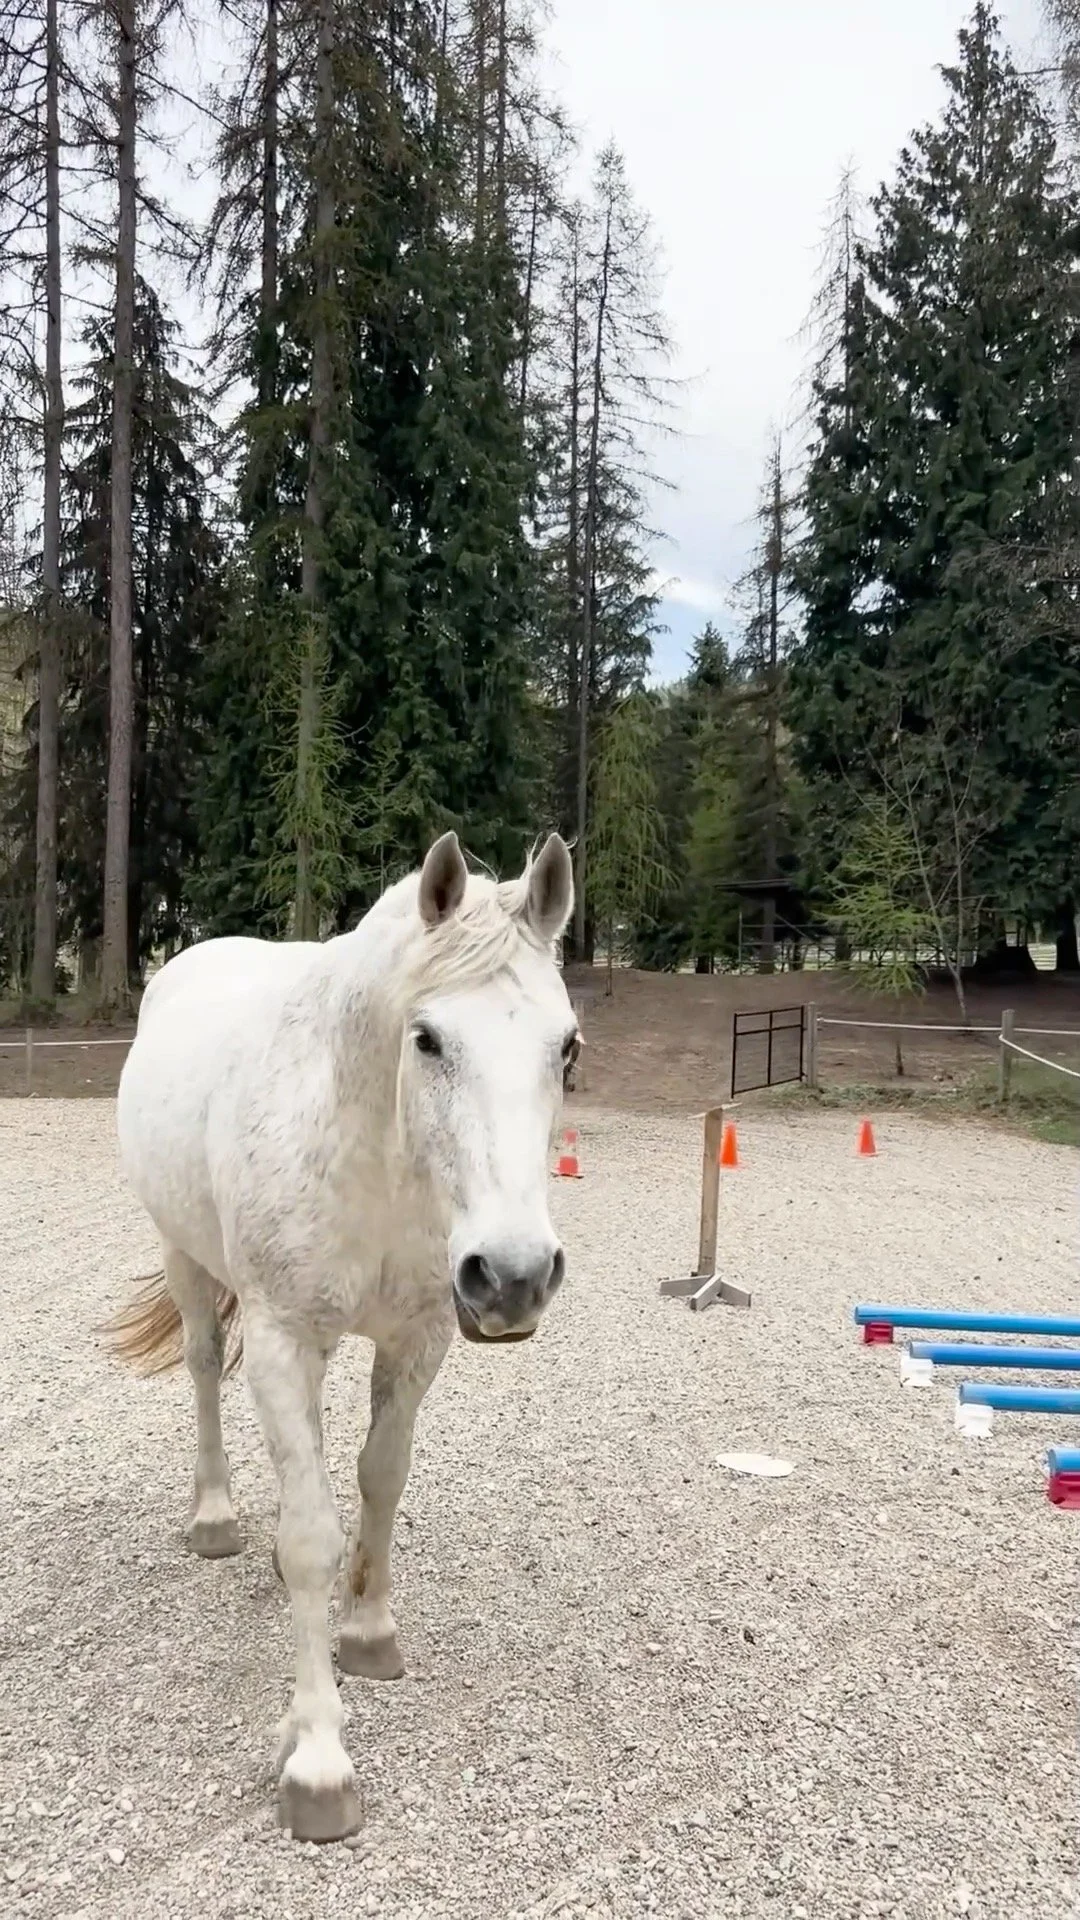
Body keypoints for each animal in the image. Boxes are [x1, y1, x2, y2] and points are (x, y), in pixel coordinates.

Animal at [103, 830, 579, 1843]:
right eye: (427, 1038)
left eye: (566, 1046)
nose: (515, 1274)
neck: (376, 1149)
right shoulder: (287, 1342)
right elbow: (311, 1533)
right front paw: (318, 1757)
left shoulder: (420, 1340)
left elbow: (378, 1481)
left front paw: (366, 1631)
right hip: (185, 1259)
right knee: (204, 1370)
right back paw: (214, 1518)